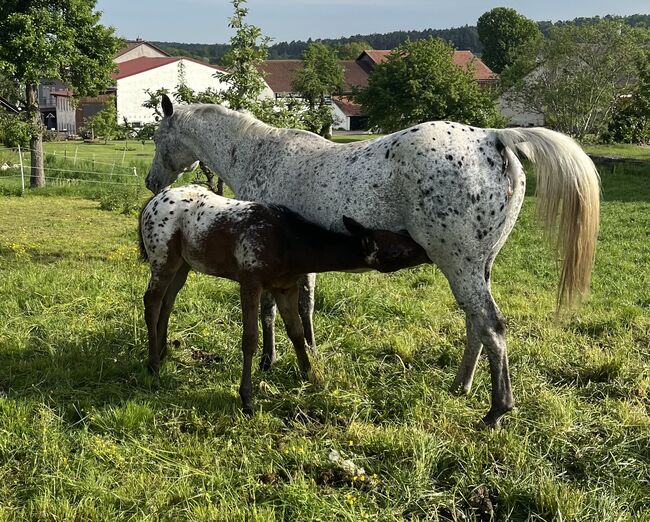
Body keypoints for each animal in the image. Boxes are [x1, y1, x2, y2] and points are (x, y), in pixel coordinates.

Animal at [139, 185, 428, 412]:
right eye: (396, 250)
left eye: (401, 235)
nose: (425, 250)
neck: (289, 246)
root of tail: (151, 203)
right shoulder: (250, 281)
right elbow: (250, 338)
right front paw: (246, 398)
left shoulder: (285, 287)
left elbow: (297, 331)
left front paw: (310, 376)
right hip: (162, 258)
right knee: (151, 301)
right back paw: (153, 365)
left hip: (184, 264)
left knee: (168, 301)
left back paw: (163, 351)